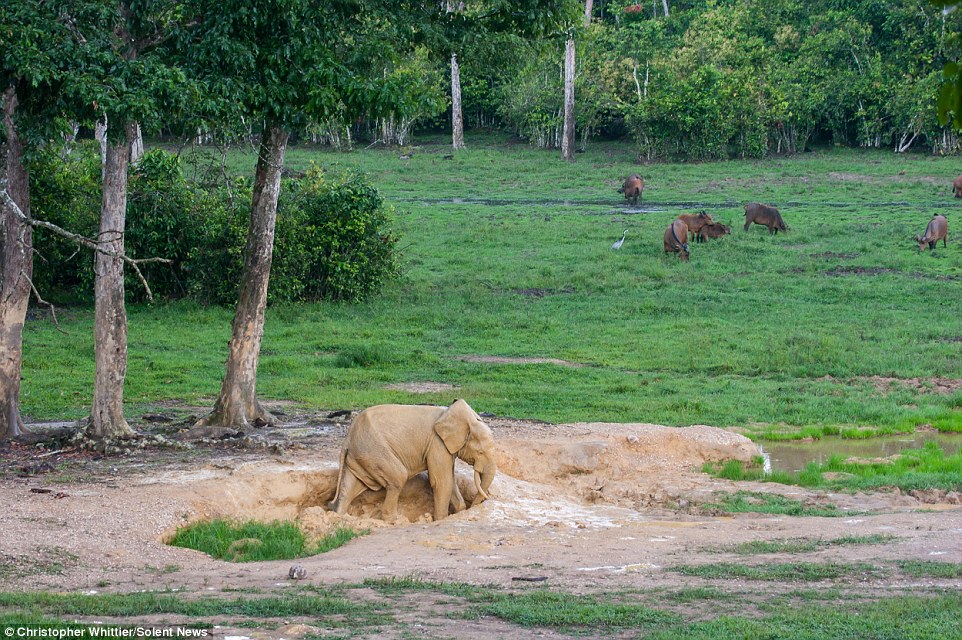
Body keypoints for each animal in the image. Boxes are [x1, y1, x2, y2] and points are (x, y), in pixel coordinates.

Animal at [328, 400, 498, 520]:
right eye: (480, 452)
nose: (478, 503)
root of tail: (348, 438)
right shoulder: (437, 444)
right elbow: (441, 481)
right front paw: (441, 519)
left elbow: (450, 478)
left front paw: (460, 511)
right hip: (374, 451)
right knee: (398, 477)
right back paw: (394, 520)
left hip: (361, 456)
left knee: (349, 488)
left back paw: (340, 516)